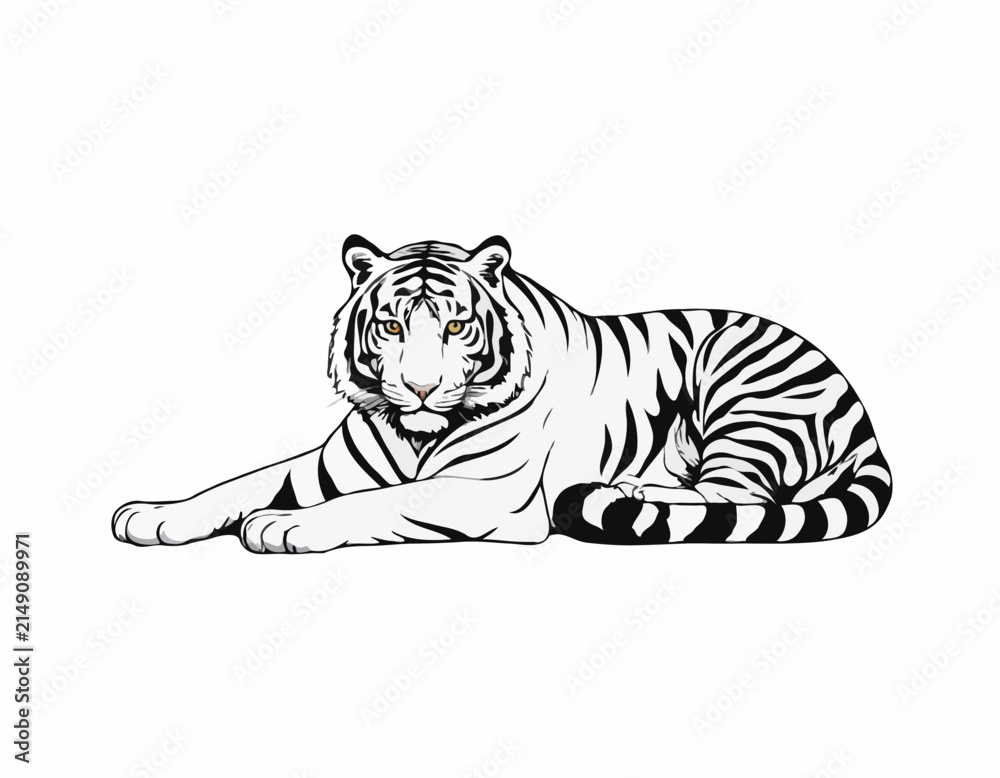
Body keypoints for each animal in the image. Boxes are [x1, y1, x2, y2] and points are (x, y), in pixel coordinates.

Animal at [112, 235, 892, 553]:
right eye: (391, 325)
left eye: (457, 325)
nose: (421, 387)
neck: (415, 432)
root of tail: (858, 402)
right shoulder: (322, 467)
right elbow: (235, 483)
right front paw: (154, 515)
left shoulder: (487, 493)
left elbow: (378, 503)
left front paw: (283, 527)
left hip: (739, 391)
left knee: (736, 497)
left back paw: (632, 491)